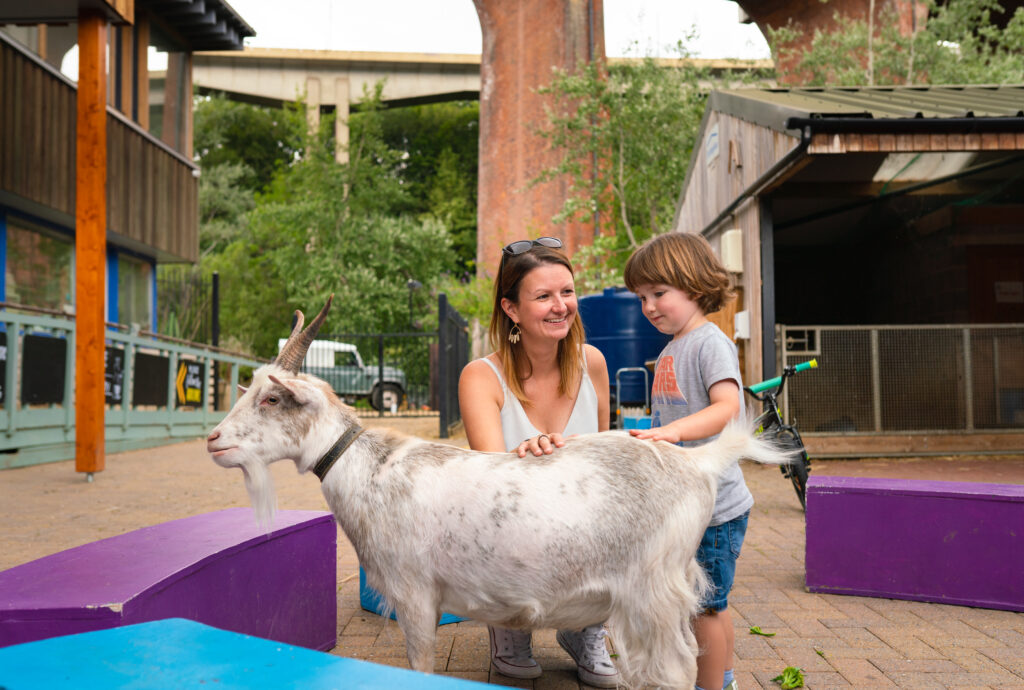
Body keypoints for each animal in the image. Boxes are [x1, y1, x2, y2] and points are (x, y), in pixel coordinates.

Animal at [206, 298, 793, 688]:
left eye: (271, 399)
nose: (213, 440)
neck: (372, 469)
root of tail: (696, 461)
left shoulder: (415, 595)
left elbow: (420, 667)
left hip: (652, 589)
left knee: (675, 666)